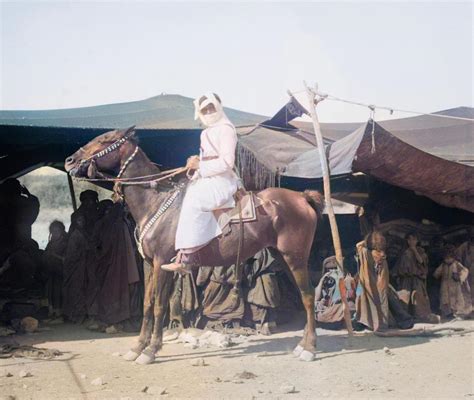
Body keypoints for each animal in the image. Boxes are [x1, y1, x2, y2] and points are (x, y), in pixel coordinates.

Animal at [65, 126, 326, 364]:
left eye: (105, 139)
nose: (70, 160)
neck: (155, 203)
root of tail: (303, 198)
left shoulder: (163, 263)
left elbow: (160, 305)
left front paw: (151, 350)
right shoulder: (150, 265)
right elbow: (147, 305)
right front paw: (137, 348)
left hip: (295, 257)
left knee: (308, 296)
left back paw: (309, 348)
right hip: (285, 257)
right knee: (306, 295)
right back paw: (304, 344)